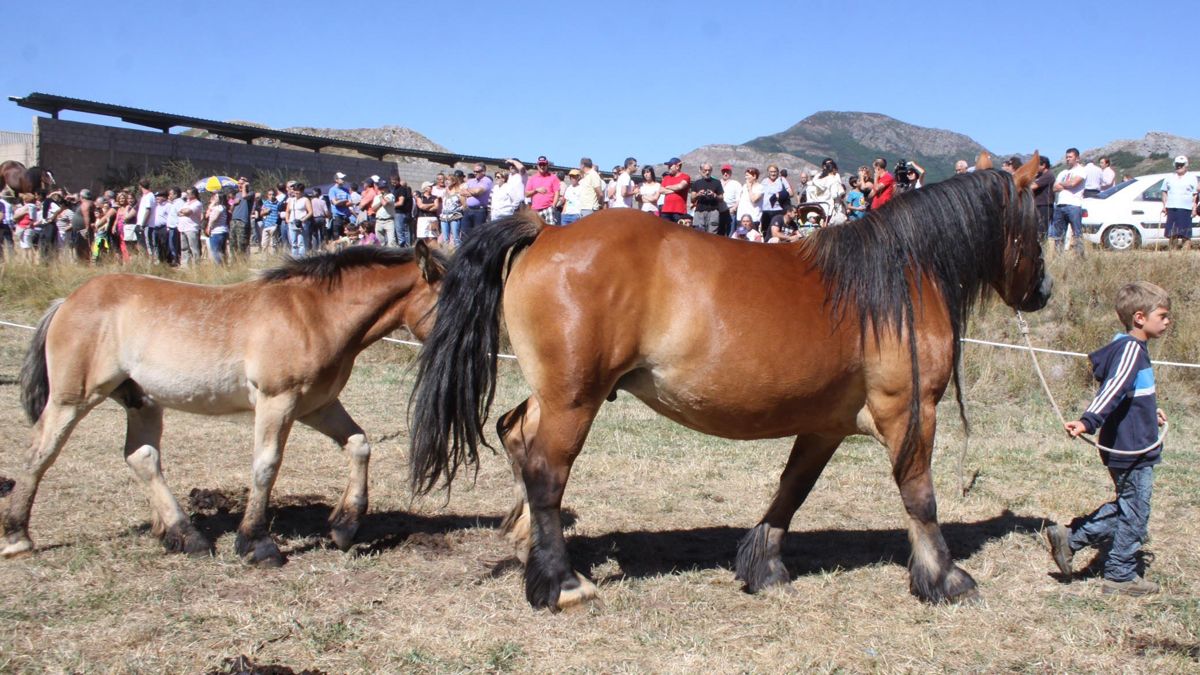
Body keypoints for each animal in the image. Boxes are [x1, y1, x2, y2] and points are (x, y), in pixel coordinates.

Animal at [5, 241, 446, 562]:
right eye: (450, 301)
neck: (314, 313)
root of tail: (66, 302)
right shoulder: (277, 401)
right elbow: (266, 466)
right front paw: (257, 544)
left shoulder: (317, 405)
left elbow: (359, 444)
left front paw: (344, 527)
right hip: (73, 398)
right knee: (40, 453)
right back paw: (17, 537)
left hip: (141, 400)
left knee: (142, 457)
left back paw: (185, 536)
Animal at [412, 154, 1051, 607]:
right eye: (1035, 222)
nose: (1042, 290)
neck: (897, 279)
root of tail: (545, 234)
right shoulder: (910, 410)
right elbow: (920, 498)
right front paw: (945, 577)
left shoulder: (825, 425)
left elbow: (792, 491)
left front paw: (763, 565)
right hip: (574, 400)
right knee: (547, 473)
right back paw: (562, 582)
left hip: (556, 395)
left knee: (515, 434)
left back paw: (528, 544)